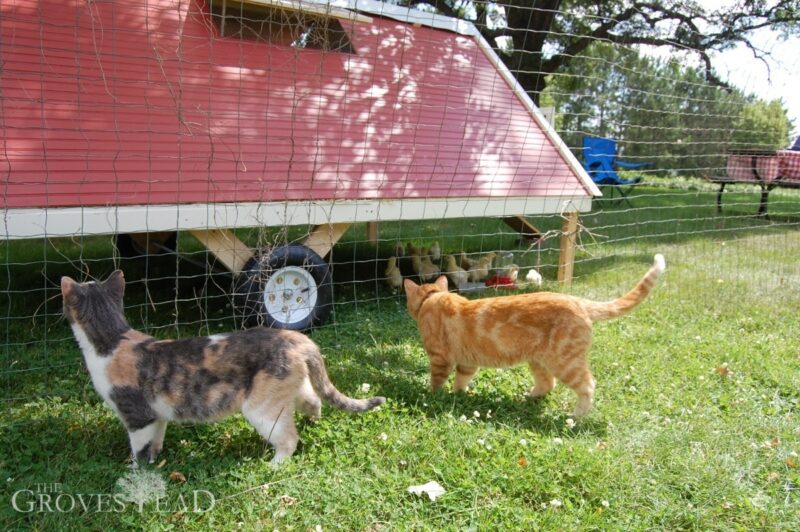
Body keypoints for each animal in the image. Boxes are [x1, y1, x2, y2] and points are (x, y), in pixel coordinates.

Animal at [60, 270, 384, 466]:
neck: (113, 340)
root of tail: (298, 338)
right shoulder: (157, 415)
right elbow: (156, 440)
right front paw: (157, 458)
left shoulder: (137, 415)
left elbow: (139, 448)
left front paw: (137, 470)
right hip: (294, 389)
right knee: (314, 400)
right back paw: (314, 422)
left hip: (261, 409)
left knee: (289, 438)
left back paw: (275, 465)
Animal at [404, 254, 664, 416]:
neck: (432, 298)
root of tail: (577, 300)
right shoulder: (468, 363)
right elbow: (461, 381)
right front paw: (458, 395)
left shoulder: (440, 359)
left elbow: (437, 382)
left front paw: (433, 395)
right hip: (539, 361)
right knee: (547, 384)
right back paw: (528, 397)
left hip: (565, 363)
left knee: (588, 385)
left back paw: (576, 416)